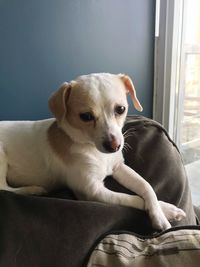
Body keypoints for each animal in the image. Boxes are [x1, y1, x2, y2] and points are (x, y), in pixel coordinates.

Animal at [0, 73, 185, 230]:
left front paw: (160, 211)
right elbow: (132, 199)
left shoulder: (119, 167)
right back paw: (33, 189)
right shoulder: (92, 191)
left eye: (120, 109)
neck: (93, 150)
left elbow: (146, 187)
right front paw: (166, 211)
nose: (114, 146)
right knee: (4, 188)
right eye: (86, 116)